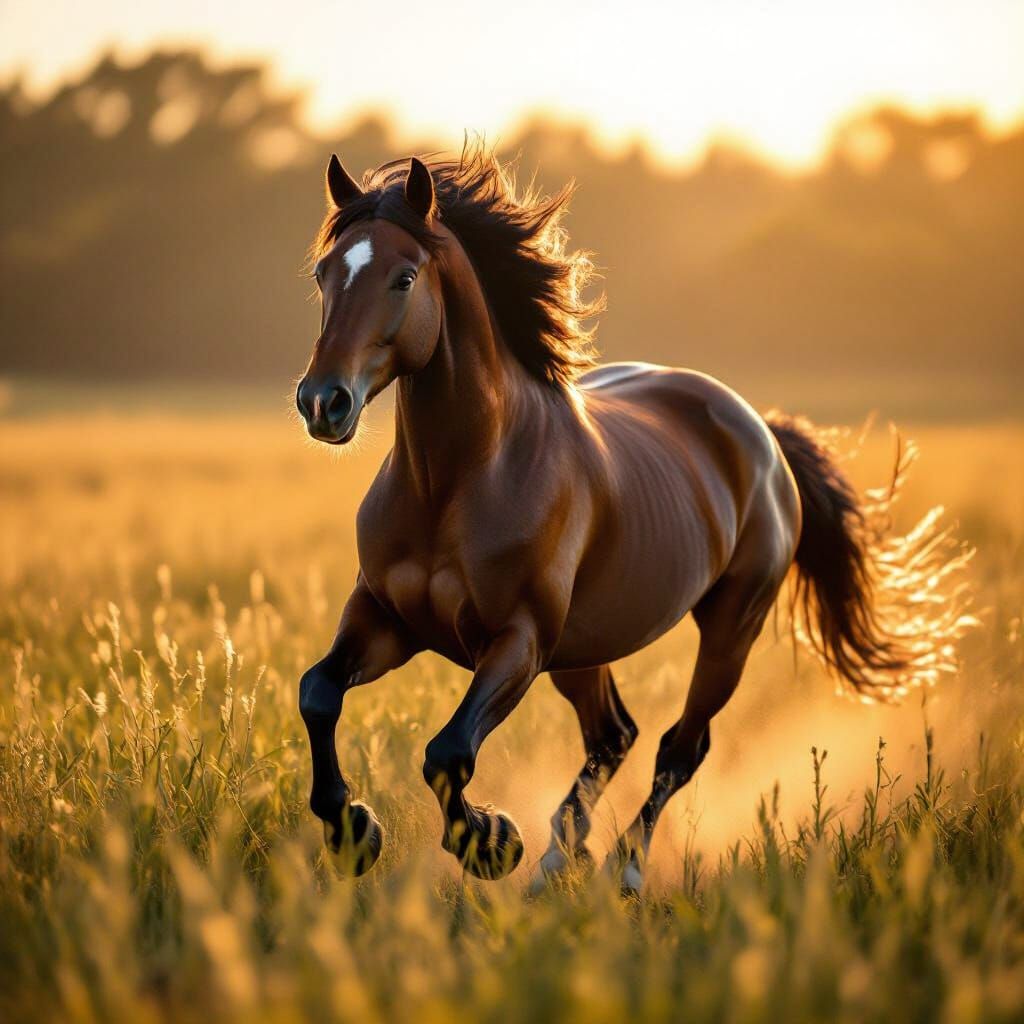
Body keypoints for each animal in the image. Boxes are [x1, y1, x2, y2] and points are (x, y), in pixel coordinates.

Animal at [294, 146, 971, 892]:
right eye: (324, 273)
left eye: (404, 277)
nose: (322, 401)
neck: (456, 483)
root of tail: (761, 433)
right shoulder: (387, 619)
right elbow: (318, 693)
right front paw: (354, 831)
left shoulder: (517, 642)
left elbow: (448, 752)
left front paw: (490, 841)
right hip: (584, 649)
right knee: (615, 735)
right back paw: (559, 858)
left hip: (729, 628)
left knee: (680, 746)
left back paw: (622, 870)